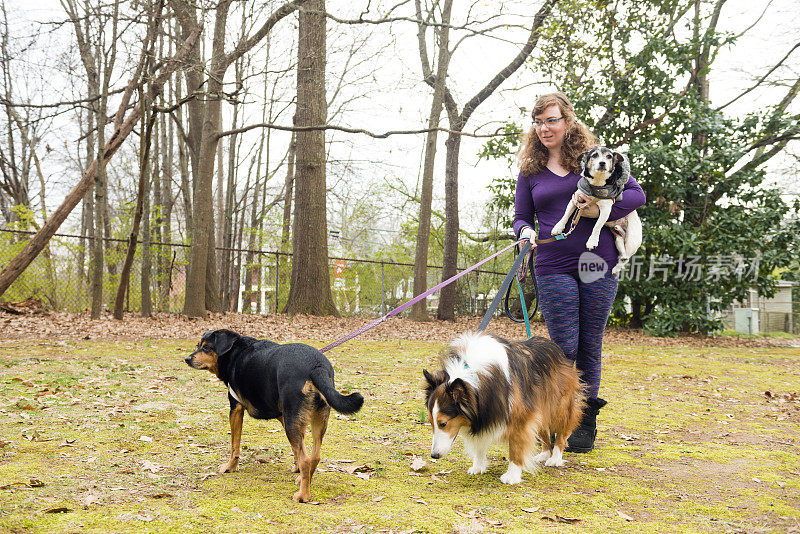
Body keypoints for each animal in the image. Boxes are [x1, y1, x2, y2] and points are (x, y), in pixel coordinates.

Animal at [184, 328, 362, 504]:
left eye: (207, 348)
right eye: (198, 345)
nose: (187, 359)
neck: (235, 352)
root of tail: (316, 366)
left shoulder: (236, 408)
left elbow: (235, 445)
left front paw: (230, 467)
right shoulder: (284, 415)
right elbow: (296, 450)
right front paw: (297, 469)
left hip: (293, 421)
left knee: (306, 460)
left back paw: (303, 496)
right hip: (317, 419)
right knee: (315, 457)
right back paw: (304, 481)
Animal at [552, 148, 644, 276]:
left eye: (609, 156)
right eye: (594, 155)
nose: (602, 163)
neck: (596, 185)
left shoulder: (605, 209)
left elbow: (597, 226)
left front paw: (592, 241)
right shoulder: (575, 199)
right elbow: (566, 215)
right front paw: (558, 227)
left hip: (631, 240)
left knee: (627, 258)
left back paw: (616, 269)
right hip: (618, 239)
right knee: (624, 256)